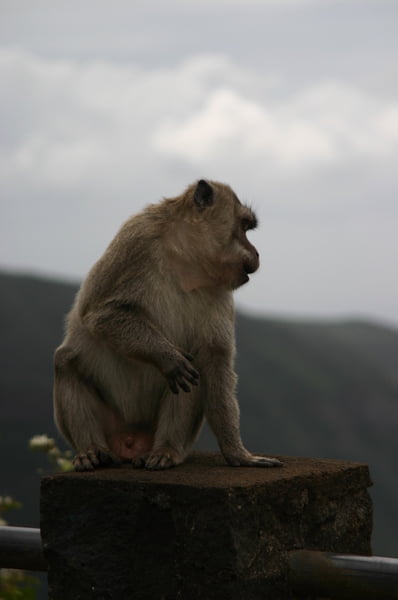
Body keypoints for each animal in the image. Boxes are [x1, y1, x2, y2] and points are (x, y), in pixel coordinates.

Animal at [53, 180, 282, 472]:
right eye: (243, 226)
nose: (256, 252)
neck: (185, 261)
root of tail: (130, 440)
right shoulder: (136, 239)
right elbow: (101, 313)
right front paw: (166, 356)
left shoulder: (219, 289)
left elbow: (214, 360)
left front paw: (238, 453)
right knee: (66, 361)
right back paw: (92, 450)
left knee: (196, 374)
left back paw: (166, 450)